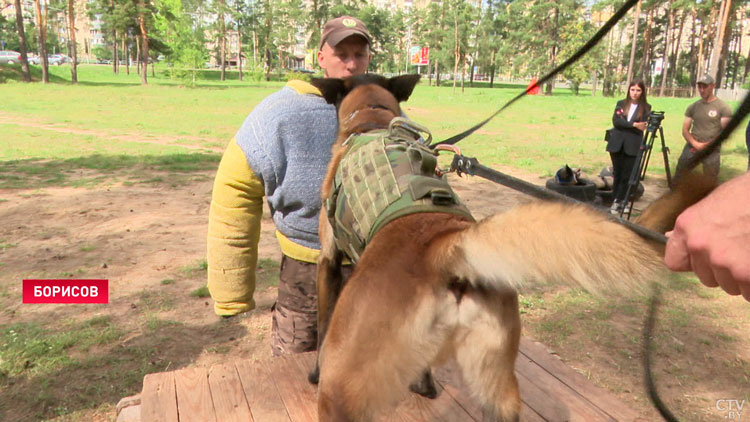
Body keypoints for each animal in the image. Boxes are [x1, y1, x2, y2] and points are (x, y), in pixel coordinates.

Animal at [308, 75, 696, 422]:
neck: (372, 119)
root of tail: (444, 246)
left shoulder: (328, 260)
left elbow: (322, 322)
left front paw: (313, 370)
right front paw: (425, 384)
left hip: (341, 391)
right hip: (499, 389)